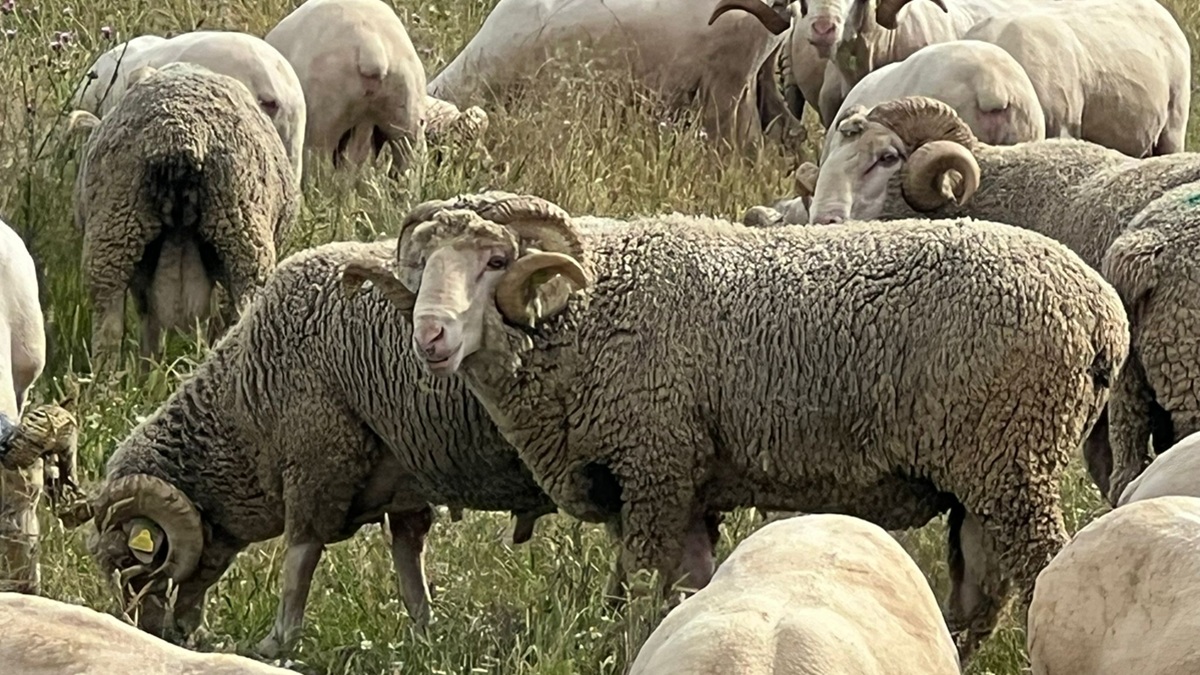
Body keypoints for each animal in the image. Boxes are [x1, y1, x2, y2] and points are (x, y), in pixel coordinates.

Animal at [67, 235, 564, 659]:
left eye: (127, 559)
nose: (147, 633)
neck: (243, 404)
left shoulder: (317, 462)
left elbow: (299, 562)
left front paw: (276, 643)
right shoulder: (404, 484)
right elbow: (409, 568)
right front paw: (425, 637)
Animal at [68, 62, 299, 371]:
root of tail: (178, 131)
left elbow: (149, 319)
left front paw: (149, 368)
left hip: (114, 227)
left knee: (109, 327)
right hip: (245, 240)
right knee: (243, 314)